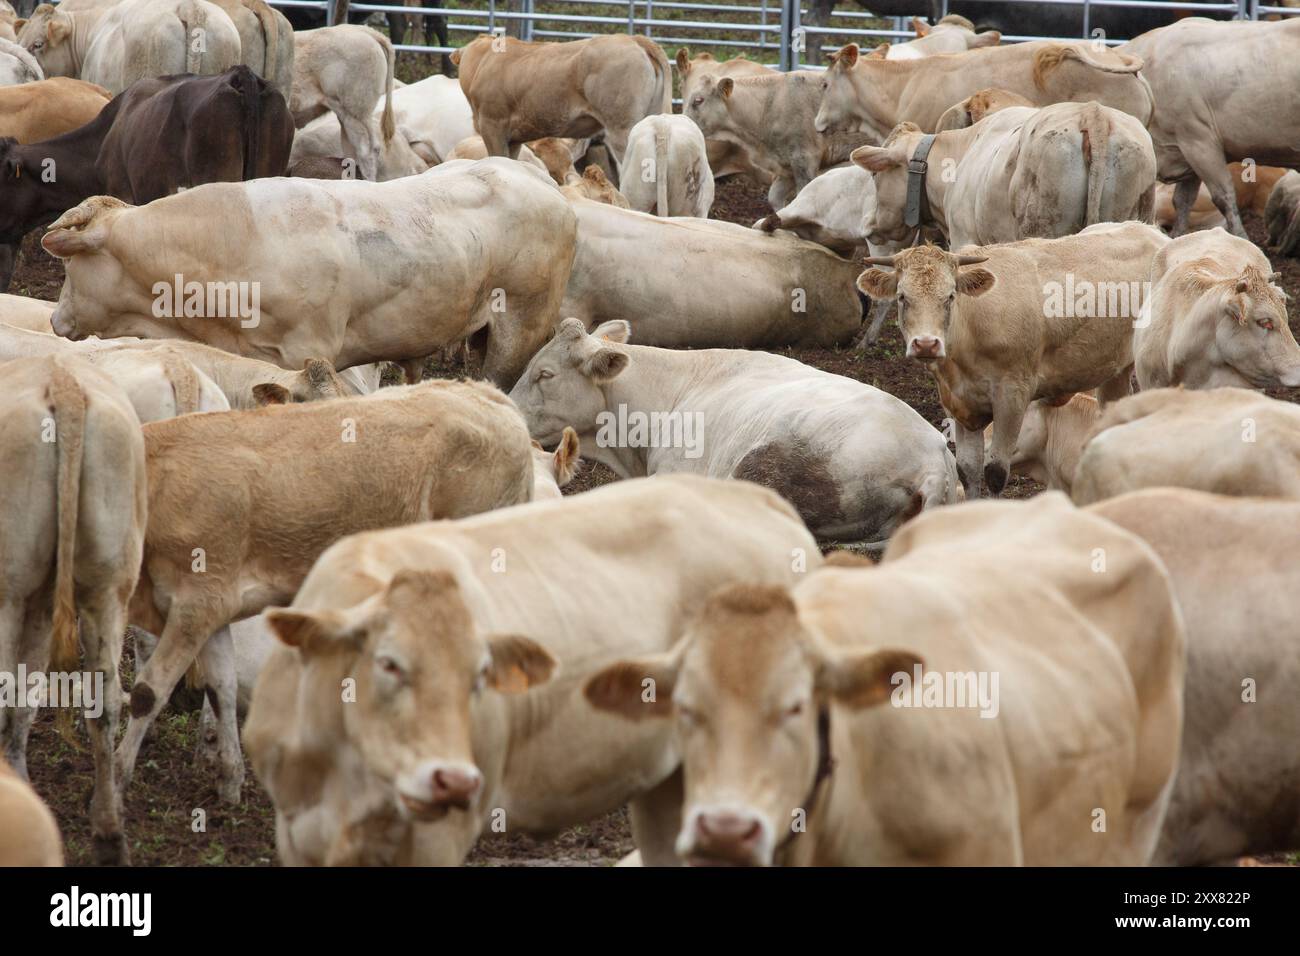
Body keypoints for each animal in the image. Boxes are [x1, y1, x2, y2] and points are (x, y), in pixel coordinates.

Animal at [115, 379, 536, 805]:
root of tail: (486, 394)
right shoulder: (215, 603)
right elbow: (222, 688)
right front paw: (230, 782)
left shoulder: (196, 600)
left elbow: (149, 691)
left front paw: (116, 782)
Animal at [243, 474, 820, 866]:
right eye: (388, 663)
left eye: (479, 677)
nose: (452, 780)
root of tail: (756, 498)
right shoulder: (294, 832)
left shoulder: (438, 838)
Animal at [855, 222, 1168, 498]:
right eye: (902, 297)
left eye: (950, 296)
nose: (926, 344)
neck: (970, 329)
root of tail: (1150, 230)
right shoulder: (958, 403)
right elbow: (968, 470)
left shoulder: (1012, 396)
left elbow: (994, 472)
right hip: (1114, 371)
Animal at [1120, 18, 1300, 237]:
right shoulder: (1184, 152)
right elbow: (1182, 201)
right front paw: (1178, 237)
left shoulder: (1199, 141)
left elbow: (1224, 198)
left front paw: (1241, 238)